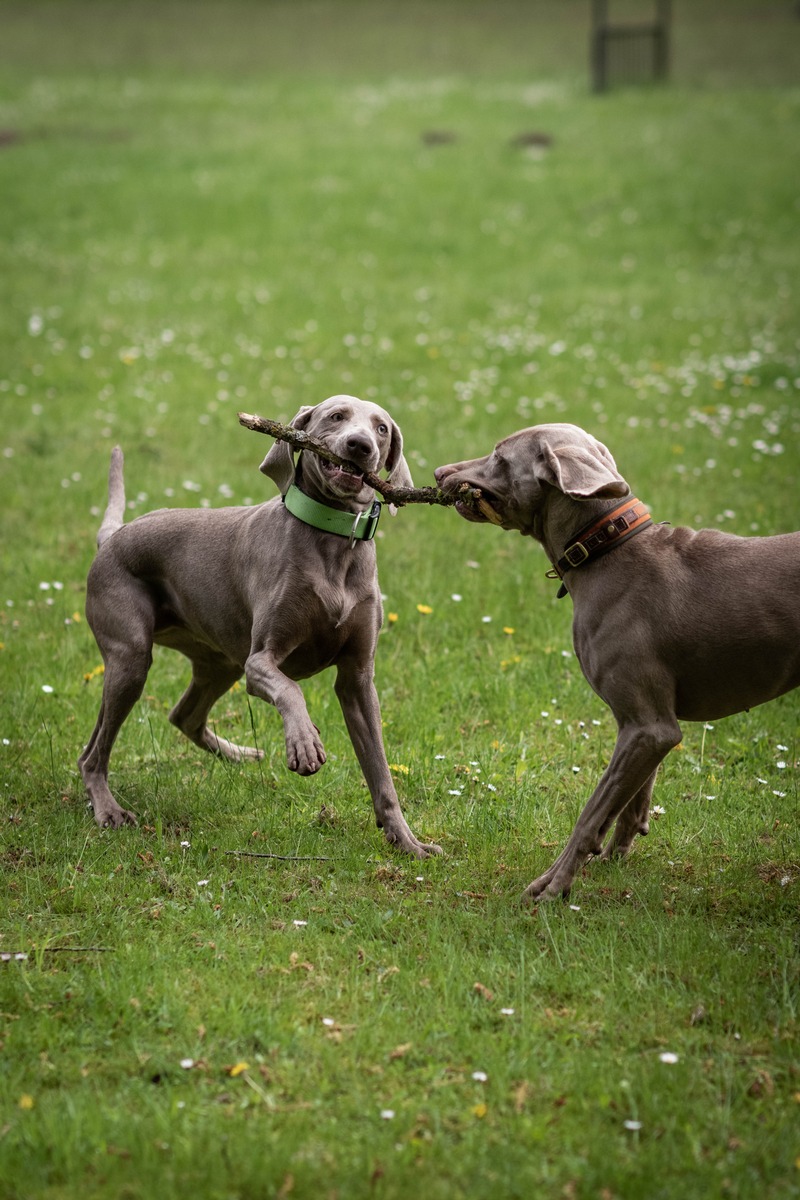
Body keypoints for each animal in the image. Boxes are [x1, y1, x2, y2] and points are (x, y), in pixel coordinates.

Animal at [438, 422, 800, 902]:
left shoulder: (648, 726)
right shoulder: (646, 727)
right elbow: (630, 800)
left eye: (499, 457)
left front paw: (553, 886)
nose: (440, 472)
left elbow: (592, 810)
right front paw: (613, 855)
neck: (605, 547)